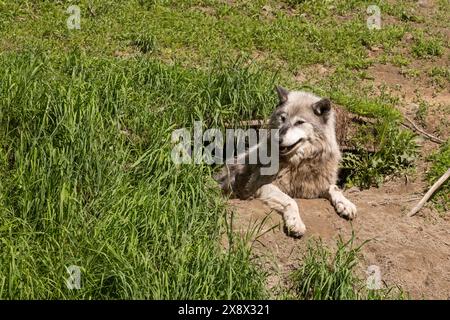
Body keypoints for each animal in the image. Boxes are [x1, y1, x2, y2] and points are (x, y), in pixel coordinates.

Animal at [216, 86, 356, 236]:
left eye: (299, 122)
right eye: (282, 118)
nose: (278, 138)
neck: (298, 164)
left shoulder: (316, 187)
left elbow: (334, 187)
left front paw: (346, 204)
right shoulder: (262, 186)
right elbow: (291, 201)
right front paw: (295, 223)